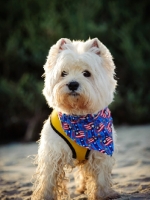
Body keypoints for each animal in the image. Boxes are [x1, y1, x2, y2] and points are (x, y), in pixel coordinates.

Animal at [31, 38, 119, 200]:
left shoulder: (101, 153)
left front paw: (104, 194)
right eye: (63, 73)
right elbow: (48, 178)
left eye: (87, 73)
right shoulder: (52, 154)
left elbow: (101, 177)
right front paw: (44, 195)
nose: (72, 84)